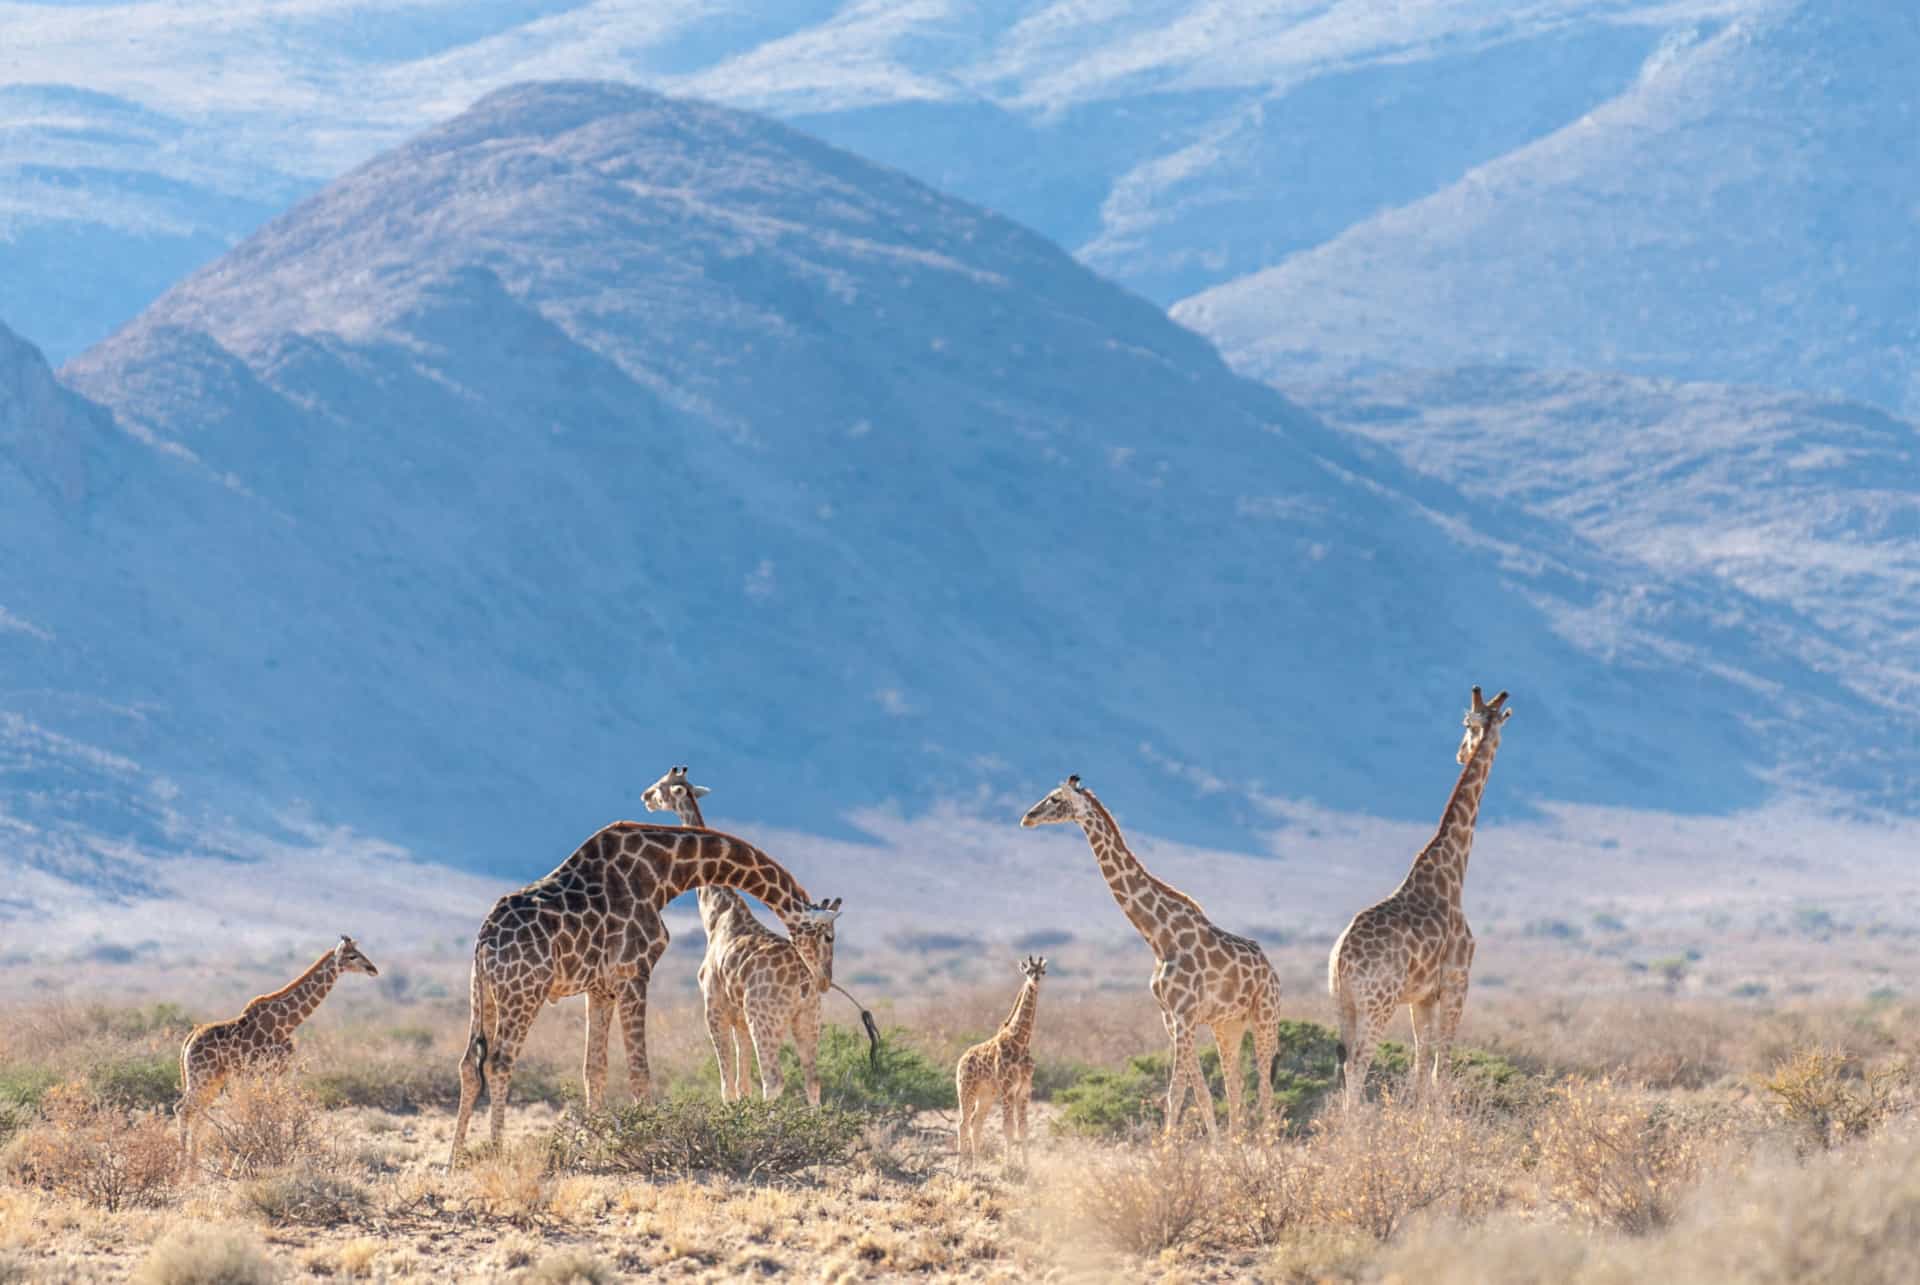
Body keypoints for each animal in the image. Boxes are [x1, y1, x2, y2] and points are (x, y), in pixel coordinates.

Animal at [453, 810, 844, 1160]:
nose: (823, 979)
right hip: (523, 991)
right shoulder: (634, 974)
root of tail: (484, 941)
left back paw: (455, 1158)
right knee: (498, 1062)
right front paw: (651, 1140)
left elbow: (594, 1069)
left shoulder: (600, 988)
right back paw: (495, 1151)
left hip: (485, 992)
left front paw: (593, 1147)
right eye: (829, 936)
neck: (663, 873)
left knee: (469, 1065)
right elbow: (639, 1070)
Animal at [641, 760, 852, 1106]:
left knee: (774, 1079)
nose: (645, 796)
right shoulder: (739, 1017)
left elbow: (727, 1084)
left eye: (662, 785)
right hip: (808, 1019)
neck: (717, 913)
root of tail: (804, 984)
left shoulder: (714, 1007)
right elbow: (743, 1084)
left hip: (764, 1019)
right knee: (812, 1079)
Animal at [952, 952, 1044, 1160]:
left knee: (976, 1123)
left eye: (1043, 971)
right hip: (966, 1089)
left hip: (986, 1095)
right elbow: (1008, 1128)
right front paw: (1009, 1165)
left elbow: (1024, 1129)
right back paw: (959, 1166)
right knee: (962, 1123)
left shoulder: (1025, 1089)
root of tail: (961, 1060)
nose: (1035, 980)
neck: (1022, 1041)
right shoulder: (1008, 1089)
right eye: (1028, 971)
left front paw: (1026, 1166)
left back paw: (976, 1165)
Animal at [1013, 775, 1282, 1137]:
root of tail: (1271, 970)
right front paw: (1214, 1146)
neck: (1159, 937)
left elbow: (1177, 1091)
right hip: (1228, 1025)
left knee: (1266, 1086)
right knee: (1235, 1085)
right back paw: (1237, 1143)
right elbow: (1199, 1091)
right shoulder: (1171, 1017)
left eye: (1055, 799)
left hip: (1265, 1016)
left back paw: (1267, 1145)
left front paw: (1169, 1147)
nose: (1027, 817)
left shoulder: (1184, 1015)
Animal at [1328, 679, 1505, 1106]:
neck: (1451, 873)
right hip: (1378, 1003)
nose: (1461, 752)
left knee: (1343, 1065)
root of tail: (1341, 959)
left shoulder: (1422, 995)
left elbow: (1421, 1063)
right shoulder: (1456, 981)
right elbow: (1442, 1064)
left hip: (1343, 1004)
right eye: (1465, 723)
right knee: (1357, 1065)